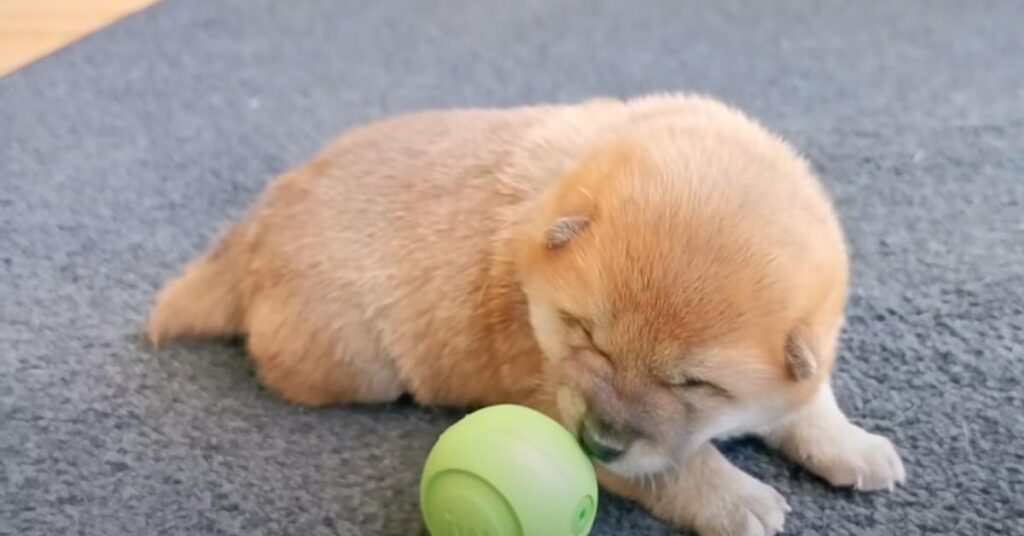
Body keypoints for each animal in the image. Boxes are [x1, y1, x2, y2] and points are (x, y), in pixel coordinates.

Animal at [146, 96, 905, 536]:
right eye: (587, 335)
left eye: (694, 383)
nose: (599, 443)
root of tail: (254, 231)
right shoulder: (546, 394)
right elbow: (675, 468)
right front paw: (739, 500)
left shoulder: (804, 359)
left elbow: (808, 402)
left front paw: (856, 446)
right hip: (351, 360)